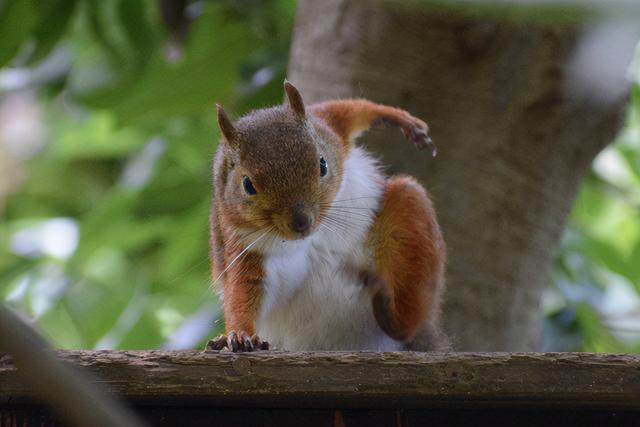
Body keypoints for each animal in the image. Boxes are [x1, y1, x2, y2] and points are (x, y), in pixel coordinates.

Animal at [208, 82, 448, 352]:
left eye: (322, 164)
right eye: (247, 185)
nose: (301, 222)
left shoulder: (327, 126)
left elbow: (349, 110)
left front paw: (400, 119)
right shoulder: (243, 245)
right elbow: (244, 288)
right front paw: (240, 335)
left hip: (409, 219)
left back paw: (393, 313)